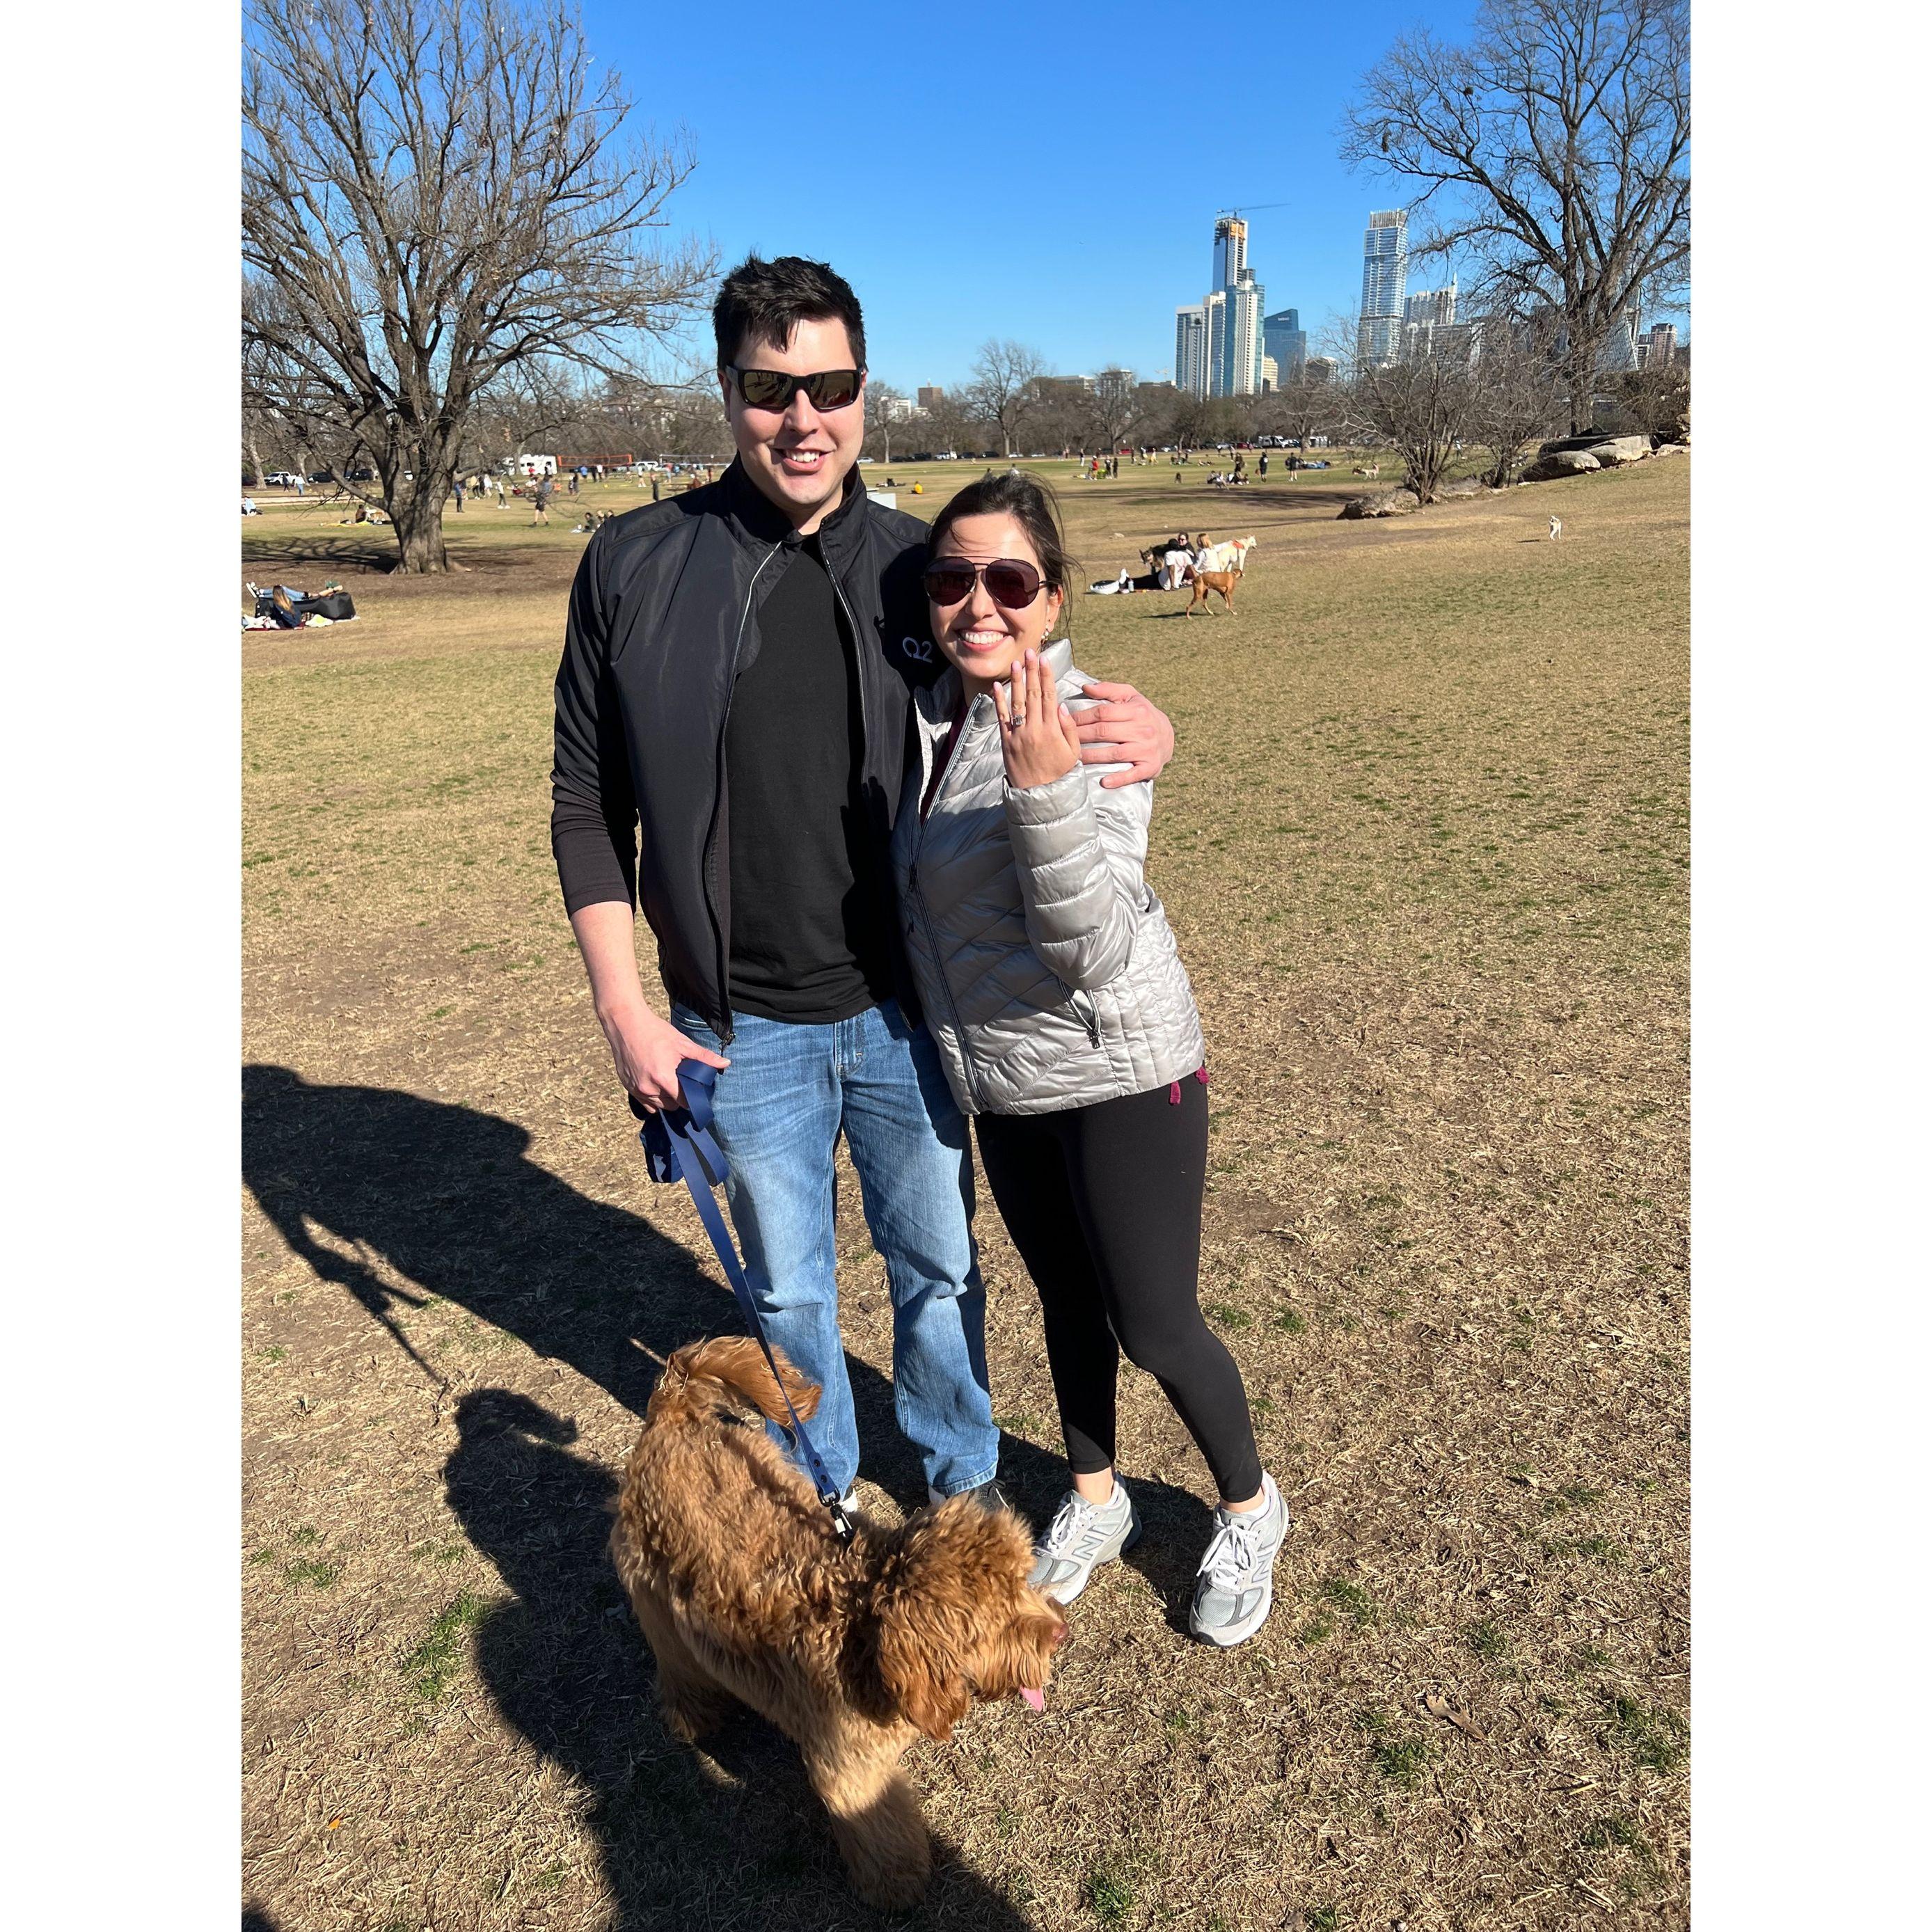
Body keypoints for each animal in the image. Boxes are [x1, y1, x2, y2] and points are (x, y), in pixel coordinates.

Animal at [606, 1336, 1074, 1908]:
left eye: (1023, 1580)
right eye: (995, 1617)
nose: (1060, 1631)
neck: (863, 1629)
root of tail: (671, 1413)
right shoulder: (850, 1770)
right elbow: (882, 1831)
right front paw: (898, 1887)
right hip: (655, 1602)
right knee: (677, 1669)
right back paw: (693, 1718)